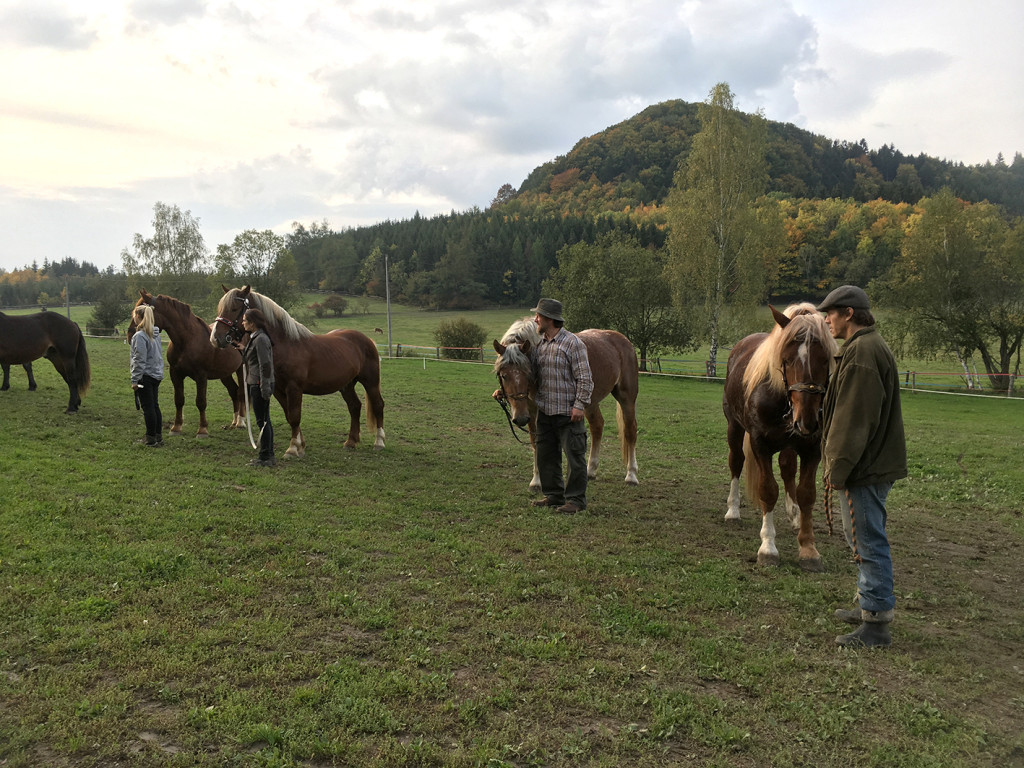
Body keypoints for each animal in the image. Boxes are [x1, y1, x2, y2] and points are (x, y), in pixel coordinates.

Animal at [130, 290, 245, 438]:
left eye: (140, 314)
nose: (131, 334)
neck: (187, 340)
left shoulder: (201, 376)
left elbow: (201, 402)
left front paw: (202, 429)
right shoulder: (175, 374)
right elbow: (179, 400)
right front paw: (176, 427)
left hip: (241, 370)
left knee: (241, 393)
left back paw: (241, 422)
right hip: (225, 374)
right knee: (234, 391)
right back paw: (234, 421)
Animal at [208, 286, 385, 456]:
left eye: (234, 308)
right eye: (220, 309)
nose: (215, 338)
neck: (286, 345)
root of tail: (367, 340)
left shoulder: (294, 388)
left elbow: (294, 416)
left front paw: (292, 448)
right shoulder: (278, 390)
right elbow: (289, 416)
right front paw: (300, 445)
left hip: (370, 382)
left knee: (378, 405)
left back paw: (379, 442)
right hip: (346, 385)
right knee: (354, 407)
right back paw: (351, 442)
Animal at [489, 317, 638, 487]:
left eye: (527, 372)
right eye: (503, 375)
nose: (520, 418)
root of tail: (624, 340)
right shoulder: (530, 409)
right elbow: (535, 442)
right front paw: (536, 480)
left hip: (626, 397)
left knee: (630, 430)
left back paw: (631, 475)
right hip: (590, 402)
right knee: (597, 427)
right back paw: (590, 470)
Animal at [724, 303, 835, 573]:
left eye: (825, 359)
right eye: (786, 359)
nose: (807, 420)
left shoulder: (811, 448)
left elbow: (806, 494)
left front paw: (808, 549)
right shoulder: (760, 444)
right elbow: (768, 490)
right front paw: (768, 547)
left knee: (787, 468)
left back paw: (794, 515)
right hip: (734, 428)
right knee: (736, 462)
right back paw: (733, 510)